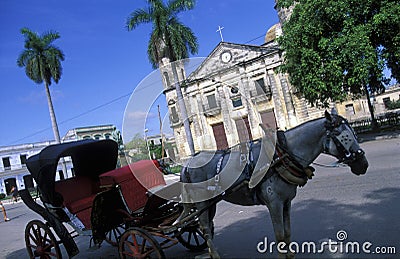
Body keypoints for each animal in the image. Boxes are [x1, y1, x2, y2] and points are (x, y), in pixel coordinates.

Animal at [178, 108, 368, 258]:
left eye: (354, 134)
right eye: (344, 137)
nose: (363, 164)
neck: (282, 154)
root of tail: (188, 163)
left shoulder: (286, 202)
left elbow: (287, 231)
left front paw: (290, 254)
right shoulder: (274, 203)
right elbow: (279, 234)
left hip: (211, 203)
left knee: (206, 227)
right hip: (202, 202)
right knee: (204, 227)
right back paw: (215, 255)